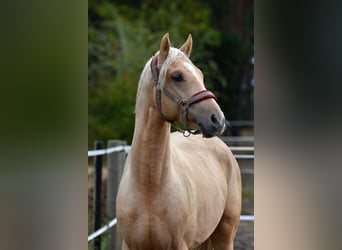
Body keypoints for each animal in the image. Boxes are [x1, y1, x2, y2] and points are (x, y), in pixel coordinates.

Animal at [116, 33, 242, 250]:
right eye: (177, 76)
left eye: (200, 74)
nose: (217, 119)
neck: (149, 186)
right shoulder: (129, 245)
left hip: (225, 236)